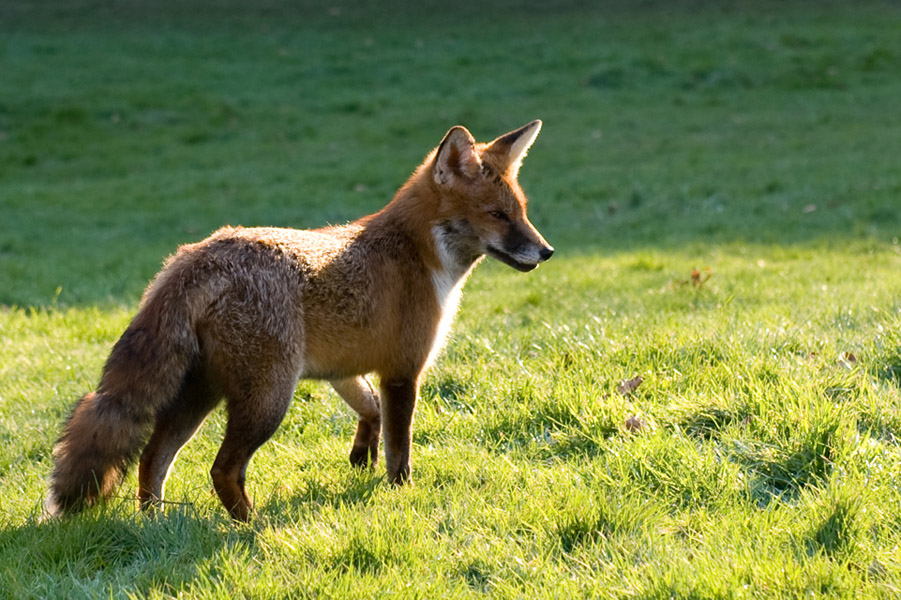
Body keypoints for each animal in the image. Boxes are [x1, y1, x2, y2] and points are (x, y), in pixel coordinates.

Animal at [46, 120, 554, 521]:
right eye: (498, 215)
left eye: (523, 212)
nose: (547, 251)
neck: (419, 253)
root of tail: (195, 257)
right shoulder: (403, 372)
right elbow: (400, 451)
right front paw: (400, 493)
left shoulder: (342, 369)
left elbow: (369, 410)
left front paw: (360, 457)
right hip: (268, 398)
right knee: (222, 469)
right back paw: (251, 526)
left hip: (199, 394)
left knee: (151, 458)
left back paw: (155, 523)